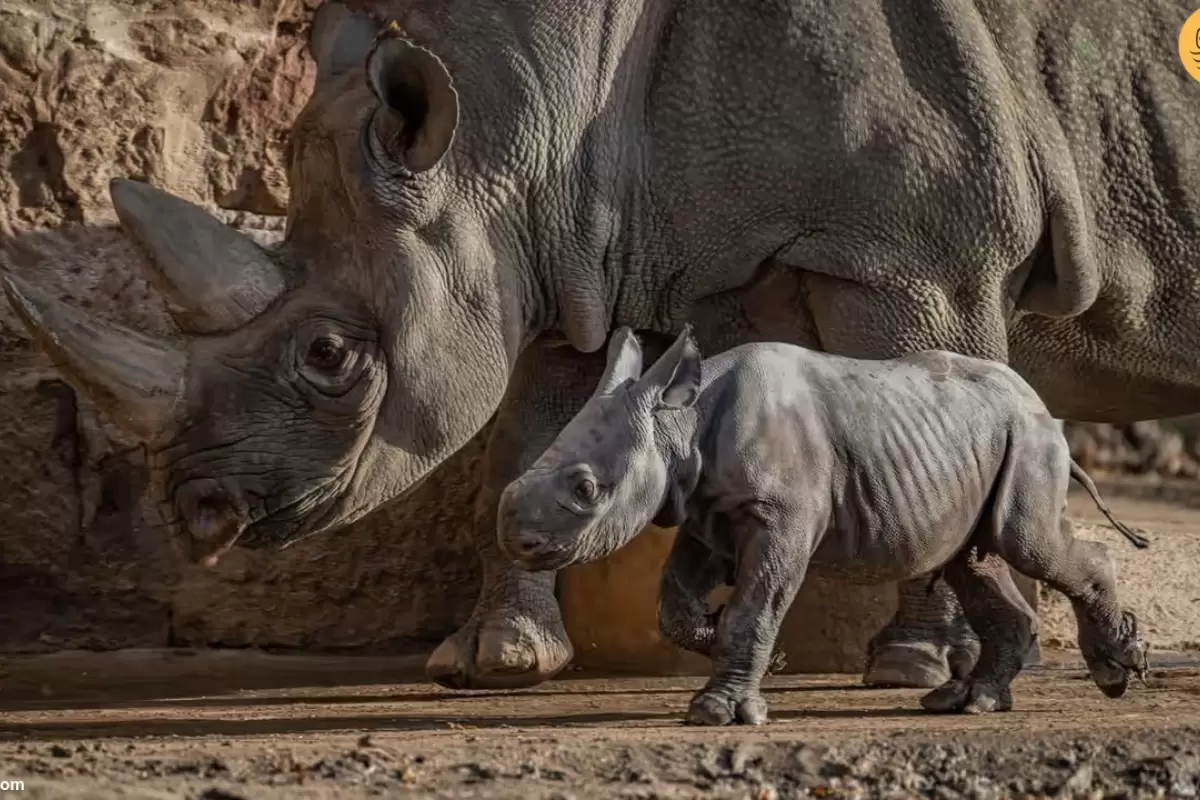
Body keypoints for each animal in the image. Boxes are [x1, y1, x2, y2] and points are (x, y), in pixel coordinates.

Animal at [499, 326, 1152, 724]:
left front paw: (716, 712)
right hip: (980, 440)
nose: (516, 540)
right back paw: (967, 702)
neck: (680, 422)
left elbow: (755, 606)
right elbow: (675, 603)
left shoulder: (777, 515)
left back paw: (1116, 672)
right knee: (973, 560)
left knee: (1026, 545)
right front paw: (737, 650)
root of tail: (1041, 405)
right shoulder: (709, 511)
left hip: (1029, 435)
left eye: (585, 490)